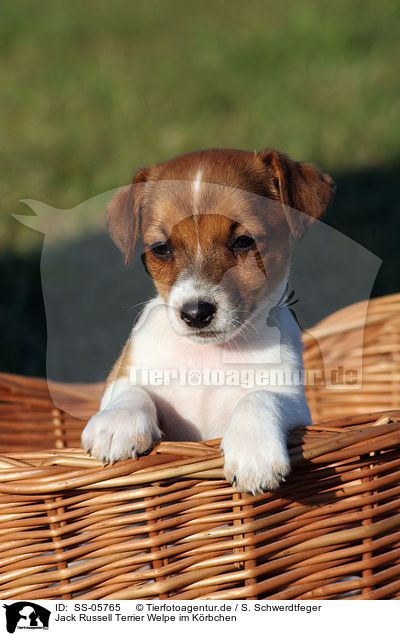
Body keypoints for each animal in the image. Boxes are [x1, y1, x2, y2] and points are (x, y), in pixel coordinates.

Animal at [79, 147, 332, 494]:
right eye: (161, 248)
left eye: (244, 241)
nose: (196, 313)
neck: (208, 355)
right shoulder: (122, 377)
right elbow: (131, 392)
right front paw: (118, 424)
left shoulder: (292, 397)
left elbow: (260, 397)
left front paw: (254, 451)